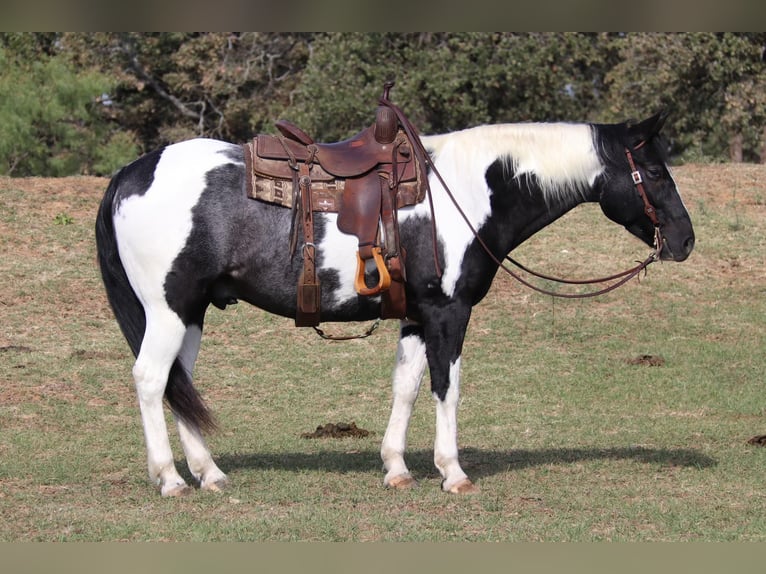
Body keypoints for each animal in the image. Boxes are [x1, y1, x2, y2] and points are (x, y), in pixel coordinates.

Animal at [94, 110, 696, 498]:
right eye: (655, 171)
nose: (685, 240)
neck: (466, 191)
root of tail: (130, 173)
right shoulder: (449, 313)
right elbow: (446, 386)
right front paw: (452, 472)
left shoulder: (414, 315)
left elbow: (405, 385)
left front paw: (396, 468)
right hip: (168, 310)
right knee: (151, 379)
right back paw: (171, 480)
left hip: (191, 313)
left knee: (180, 386)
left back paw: (210, 474)